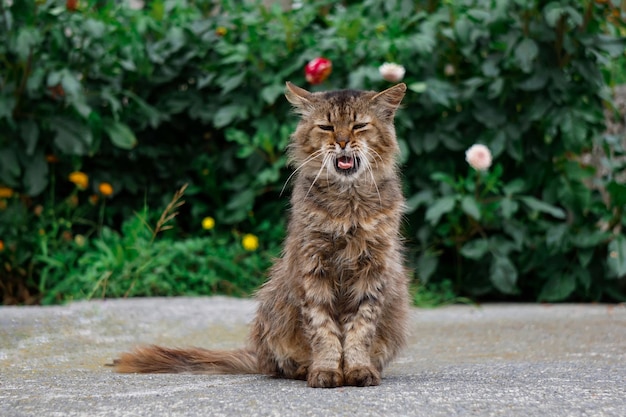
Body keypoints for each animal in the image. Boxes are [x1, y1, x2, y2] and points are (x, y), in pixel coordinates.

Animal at [114, 81, 410, 386]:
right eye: (326, 127)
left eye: (359, 126)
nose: (341, 142)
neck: (347, 205)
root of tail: (258, 356)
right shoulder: (312, 268)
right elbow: (323, 331)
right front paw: (326, 371)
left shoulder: (373, 270)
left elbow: (360, 331)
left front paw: (358, 369)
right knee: (281, 365)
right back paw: (305, 370)